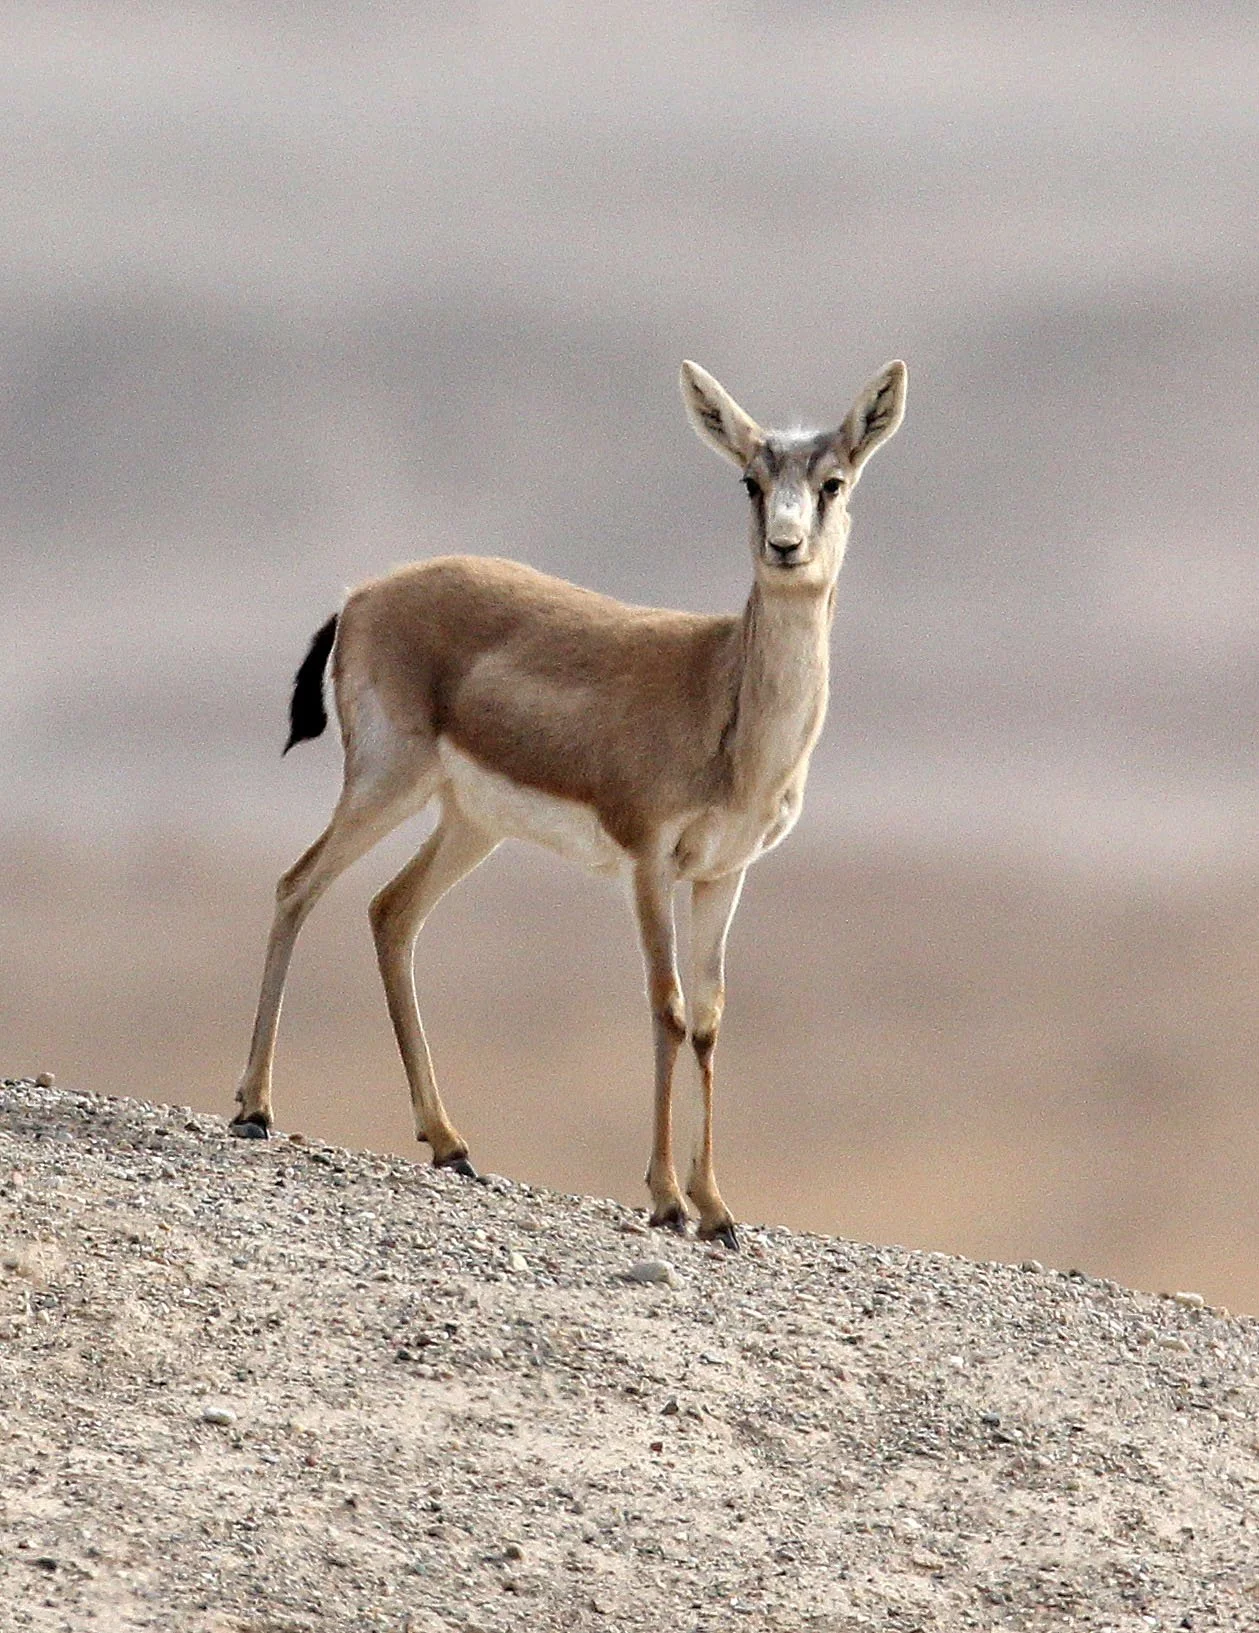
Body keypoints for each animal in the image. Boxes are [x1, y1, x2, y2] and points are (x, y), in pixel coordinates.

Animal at [232, 359, 907, 1247]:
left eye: (833, 479)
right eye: (749, 481)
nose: (785, 546)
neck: (721, 690)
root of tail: (362, 594)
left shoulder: (722, 876)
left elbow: (708, 1019)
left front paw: (717, 1208)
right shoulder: (649, 864)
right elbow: (664, 1007)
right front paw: (665, 1197)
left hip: (470, 825)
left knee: (390, 912)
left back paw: (450, 1142)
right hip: (385, 784)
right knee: (296, 885)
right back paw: (254, 1107)